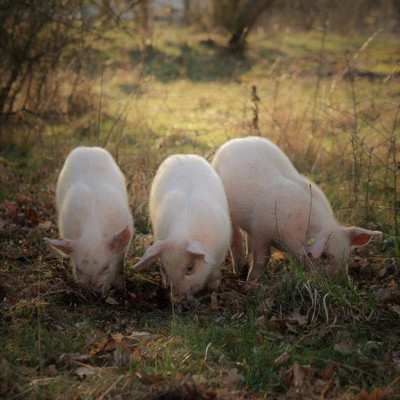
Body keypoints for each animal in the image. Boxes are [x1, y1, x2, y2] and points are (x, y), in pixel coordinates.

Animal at [45, 147, 133, 294]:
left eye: (105, 267)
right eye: (78, 269)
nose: (92, 292)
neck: (93, 232)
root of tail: (88, 147)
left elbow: (120, 263)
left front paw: (121, 287)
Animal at [132, 155, 230, 302]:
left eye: (190, 268)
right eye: (166, 268)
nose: (178, 298)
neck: (182, 234)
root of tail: (184, 155)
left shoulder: (220, 254)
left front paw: (214, 288)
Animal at [211, 136, 382, 280]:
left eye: (346, 256)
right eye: (325, 256)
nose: (340, 283)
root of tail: (236, 140)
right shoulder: (261, 231)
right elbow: (262, 258)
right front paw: (252, 281)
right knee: (235, 237)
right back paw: (238, 270)